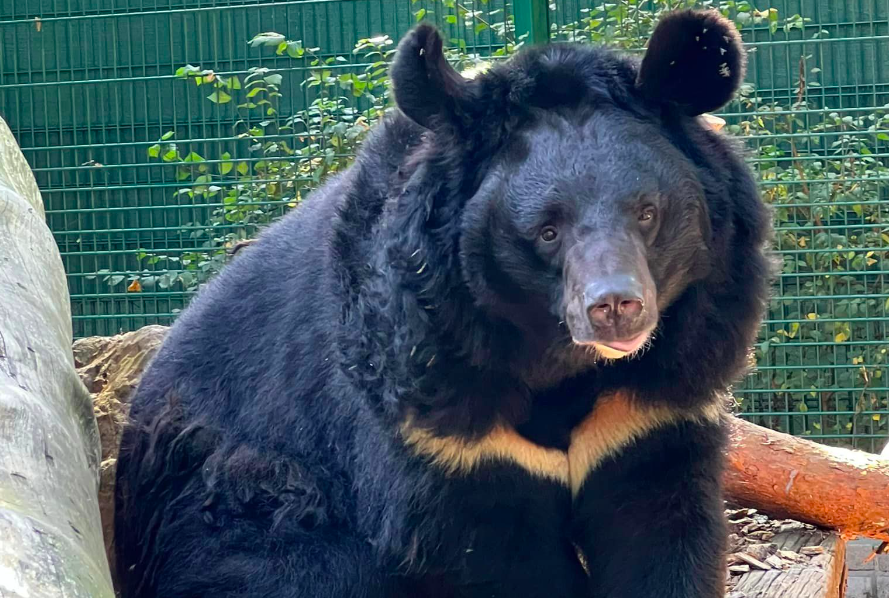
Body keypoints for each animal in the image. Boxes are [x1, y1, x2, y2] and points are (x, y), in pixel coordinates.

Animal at [114, 9, 771, 598]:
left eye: (648, 213)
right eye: (546, 231)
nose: (616, 307)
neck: (559, 364)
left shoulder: (654, 406)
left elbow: (659, 531)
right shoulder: (436, 428)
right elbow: (501, 559)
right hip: (238, 496)